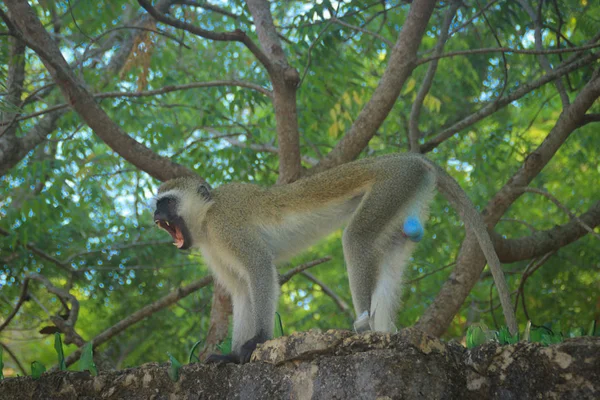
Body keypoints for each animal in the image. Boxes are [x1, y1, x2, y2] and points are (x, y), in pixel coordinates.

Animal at [154, 152, 516, 362]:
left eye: (167, 201)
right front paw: (231, 355)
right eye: (158, 204)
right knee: (390, 254)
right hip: (408, 195)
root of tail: (410, 157)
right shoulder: (212, 247)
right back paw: (385, 333)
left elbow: (259, 269)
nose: (155, 214)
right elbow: (243, 291)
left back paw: (366, 330)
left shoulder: (226, 225)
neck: (205, 218)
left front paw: (254, 344)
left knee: (355, 239)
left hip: (393, 183)